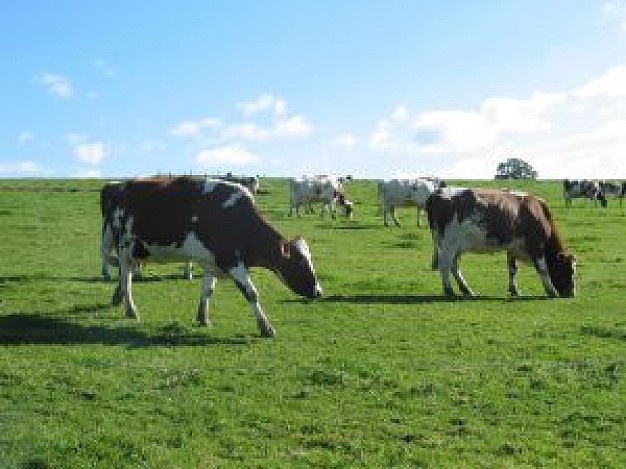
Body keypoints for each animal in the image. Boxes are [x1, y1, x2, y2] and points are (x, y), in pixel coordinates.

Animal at [108, 176, 322, 336]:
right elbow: (251, 292)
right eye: (299, 262)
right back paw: (131, 310)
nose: (319, 292)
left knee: (126, 277)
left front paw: (203, 318)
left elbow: (207, 290)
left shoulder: (212, 261)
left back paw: (118, 299)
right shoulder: (231, 261)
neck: (237, 219)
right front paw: (266, 327)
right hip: (124, 248)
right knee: (126, 279)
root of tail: (120, 185)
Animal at [424, 186, 576, 296]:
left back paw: (467, 290)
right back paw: (449, 290)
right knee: (445, 265)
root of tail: (436, 194)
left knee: (454, 266)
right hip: (449, 243)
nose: (572, 293)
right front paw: (551, 291)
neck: (538, 212)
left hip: (456, 246)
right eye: (571, 270)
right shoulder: (536, 245)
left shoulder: (513, 247)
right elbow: (543, 269)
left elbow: (512, 269)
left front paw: (514, 290)